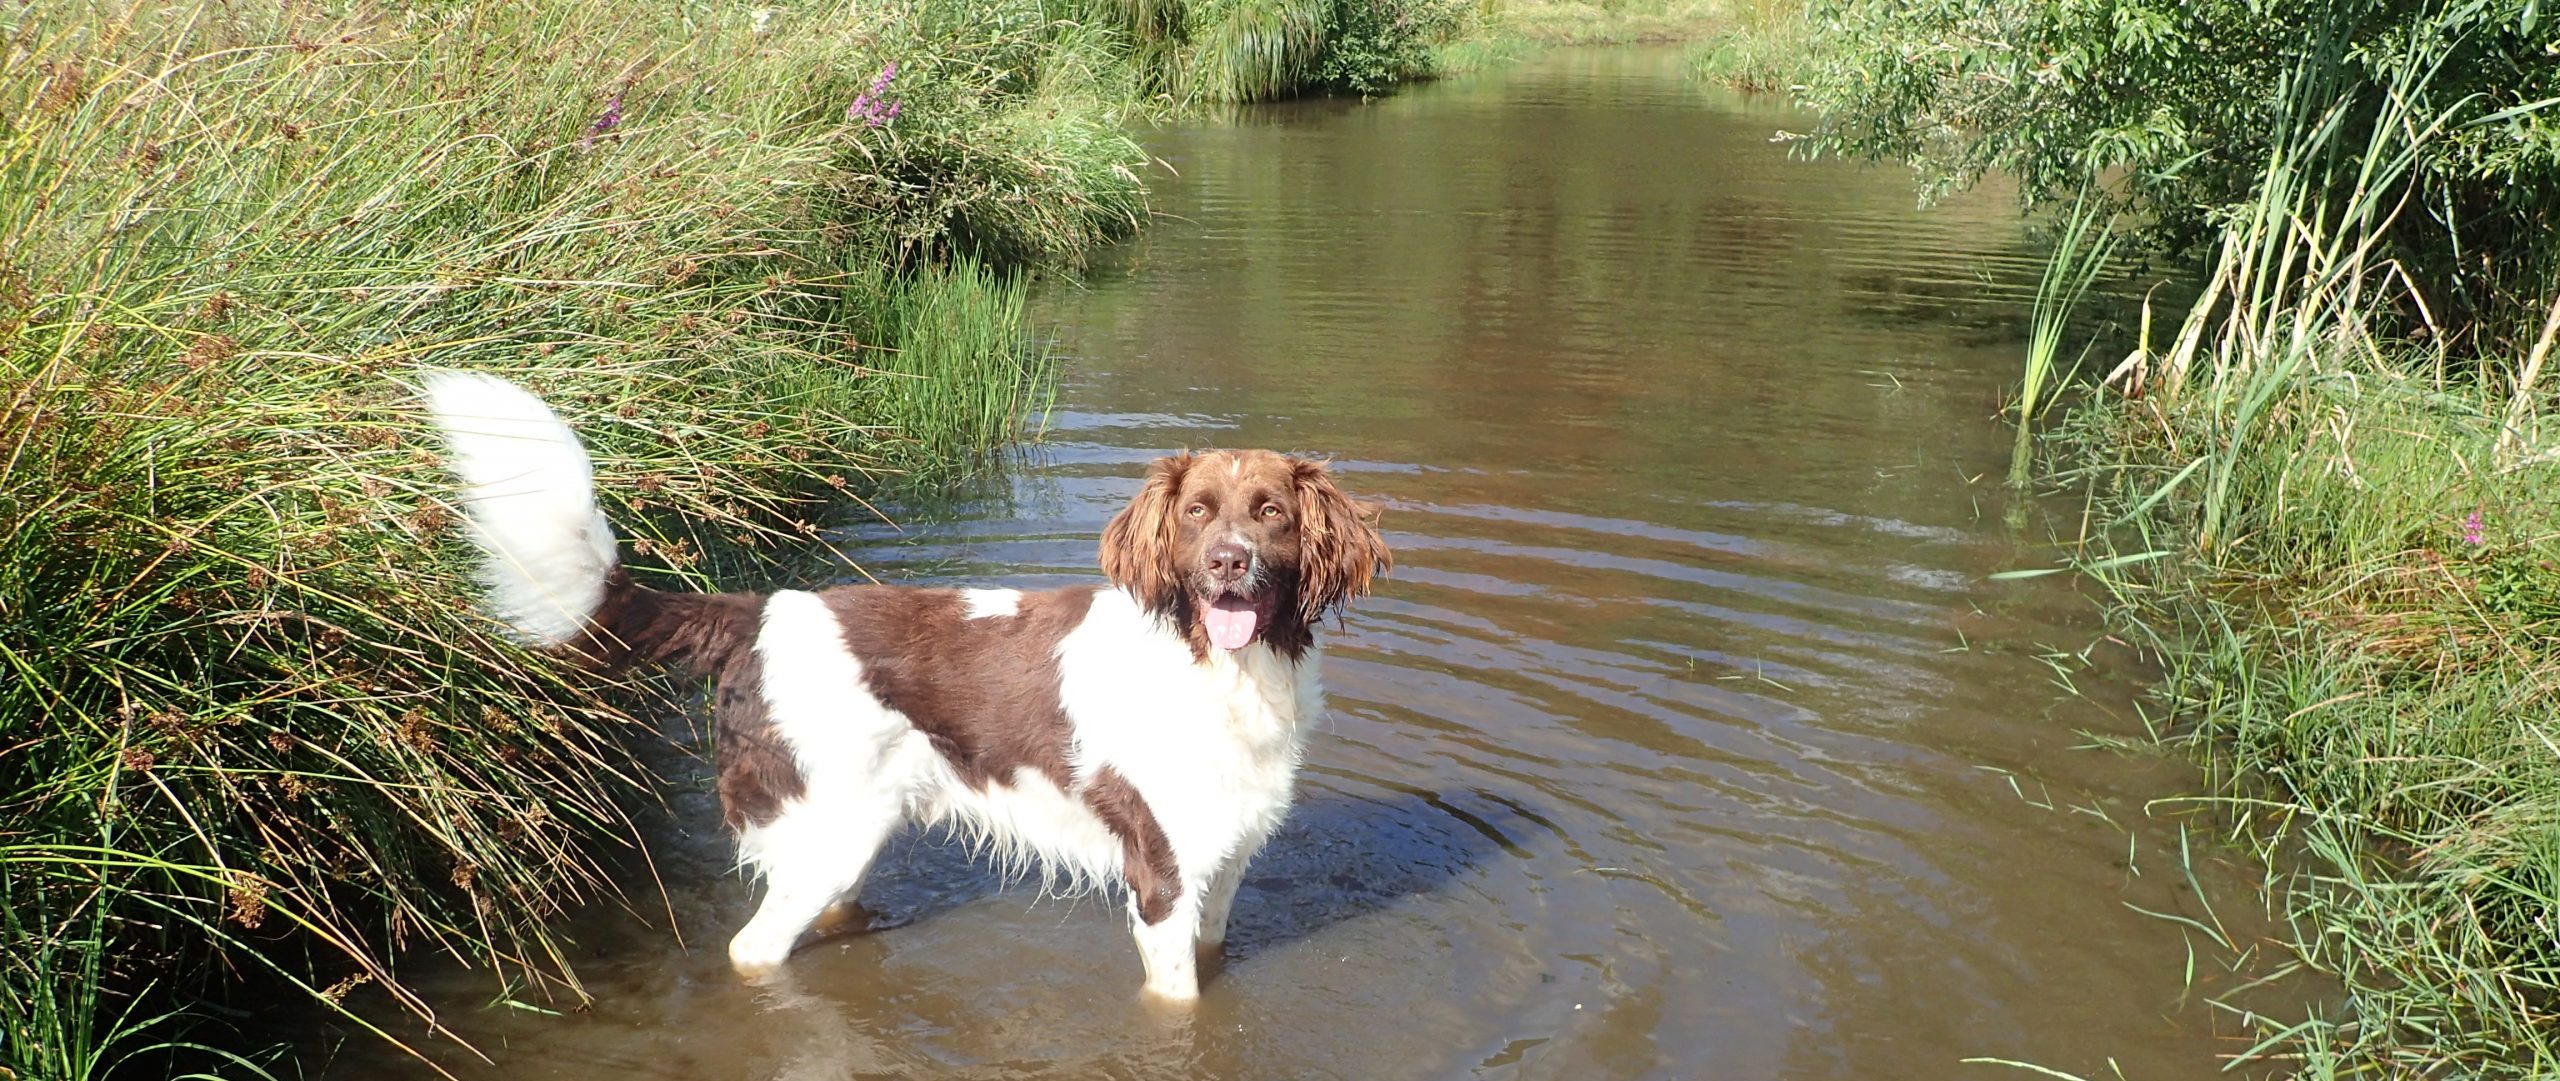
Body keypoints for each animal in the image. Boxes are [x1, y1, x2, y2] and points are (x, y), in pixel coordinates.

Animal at [419, 368, 1392, 999]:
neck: (1219, 670)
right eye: (1195, 514)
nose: (1229, 563)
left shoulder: (1220, 868)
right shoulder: (1160, 875)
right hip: (829, 829)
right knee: (752, 950)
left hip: (848, 833)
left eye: (1270, 512)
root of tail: (756, 612)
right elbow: (1177, 1003)